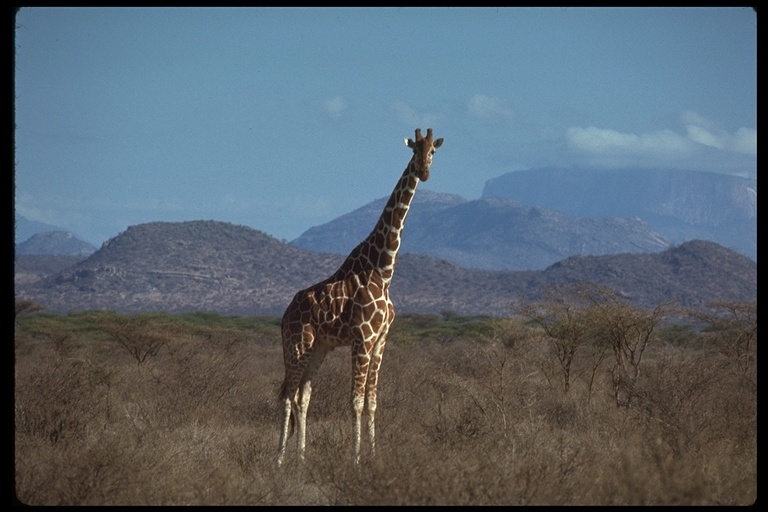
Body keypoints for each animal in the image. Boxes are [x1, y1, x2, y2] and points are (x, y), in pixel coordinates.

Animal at [276, 127, 444, 464]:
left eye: (433, 151)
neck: (383, 269)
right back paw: (278, 459)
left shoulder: (380, 341)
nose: (424, 172)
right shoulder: (362, 338)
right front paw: (354, 459)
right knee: (287, 394)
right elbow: (355, 400)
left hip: (318, 347)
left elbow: (372, 402)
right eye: (414, 150)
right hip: (297, 344)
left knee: (303, 395)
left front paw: (373, 455)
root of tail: (285, 315)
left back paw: (301, 459)